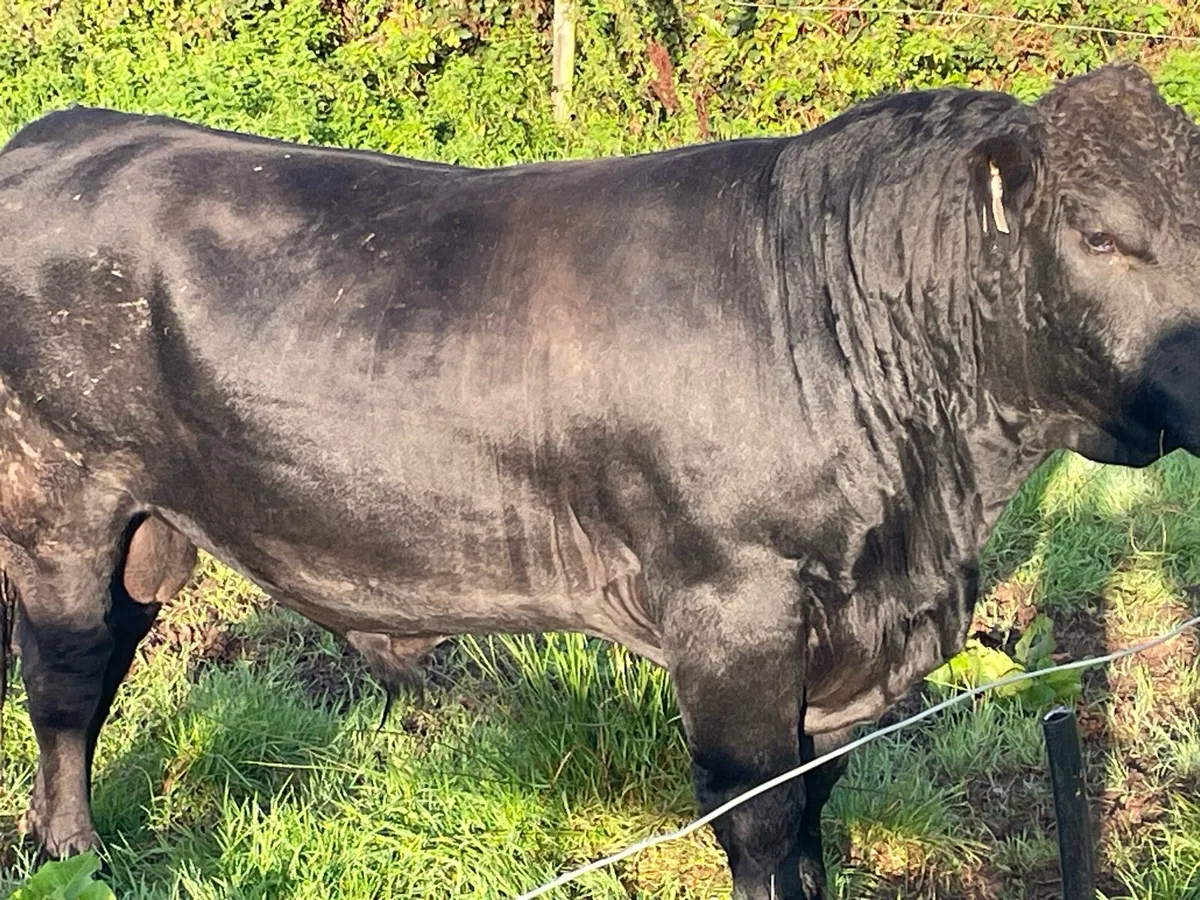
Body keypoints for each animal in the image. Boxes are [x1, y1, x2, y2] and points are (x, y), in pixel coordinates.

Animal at [0, 61, 1197, 899]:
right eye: (1099, 236)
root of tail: (65, 129)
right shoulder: (733, 617)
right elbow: (761, 821)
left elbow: (813, 811)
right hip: (58, 504)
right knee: (64, 688)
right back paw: (72, 853)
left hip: (148, 526)